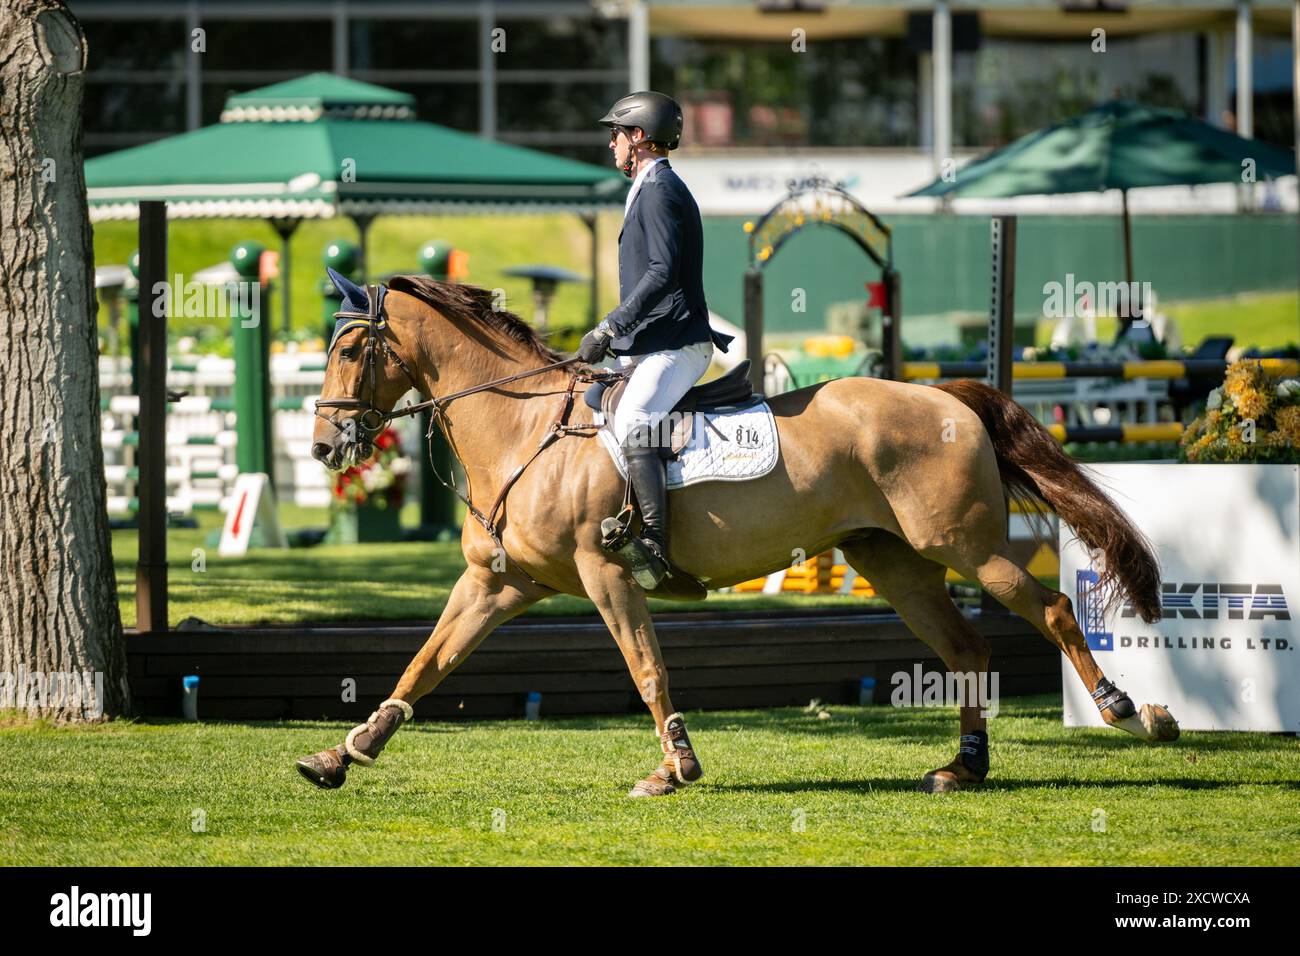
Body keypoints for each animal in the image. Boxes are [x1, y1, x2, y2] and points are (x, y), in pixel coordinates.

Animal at [295, 277, 1180, 801]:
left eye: (351, 348)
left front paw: (675, 768)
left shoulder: (606, 575)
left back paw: (1131, 714)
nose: (324, 448)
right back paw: (962, 766)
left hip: (966, 548)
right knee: (965, 646)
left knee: (1053, 610)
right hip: (892, 560)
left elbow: (648, 671)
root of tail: (947, 396)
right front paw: (341, 755)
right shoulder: (498, 583)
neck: (522, 430)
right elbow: (426, 662)